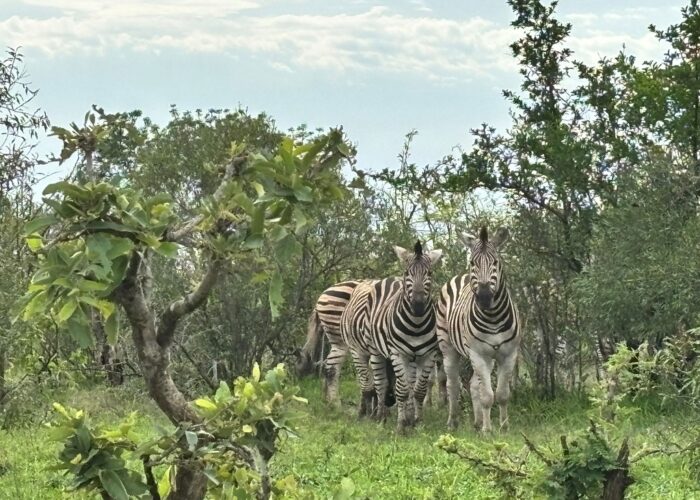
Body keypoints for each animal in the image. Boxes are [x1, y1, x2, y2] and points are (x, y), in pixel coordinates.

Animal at [296, 280, 395, 412]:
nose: (390, 401)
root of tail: (324, 293)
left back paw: (328, 401)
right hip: (341, 338)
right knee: (332, 367)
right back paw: (336, 404)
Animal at [341, 241, 443, 432]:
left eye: (430, 274)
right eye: (407, 273)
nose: (418, 305)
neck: (416, 324)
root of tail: (387, 279)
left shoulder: (428, 355)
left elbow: (418, 390)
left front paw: (417, 421)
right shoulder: (397, 353)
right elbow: (401, 390)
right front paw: (401, 425)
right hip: (375, 351)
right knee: (380, 384)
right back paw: (380, 416)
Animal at [437, 226, 521, 432]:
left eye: (496, 262)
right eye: (472, 263)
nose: (483, 297)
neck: (494, 318)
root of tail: (461, 276)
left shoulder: (509, 355)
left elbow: (502, 394)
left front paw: (503, 427)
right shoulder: (479, 354)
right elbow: (487, 396)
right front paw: (488, 430)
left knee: (474, 384)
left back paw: (477, 421)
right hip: (448, 347)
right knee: (453, 385)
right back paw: (453, 422)